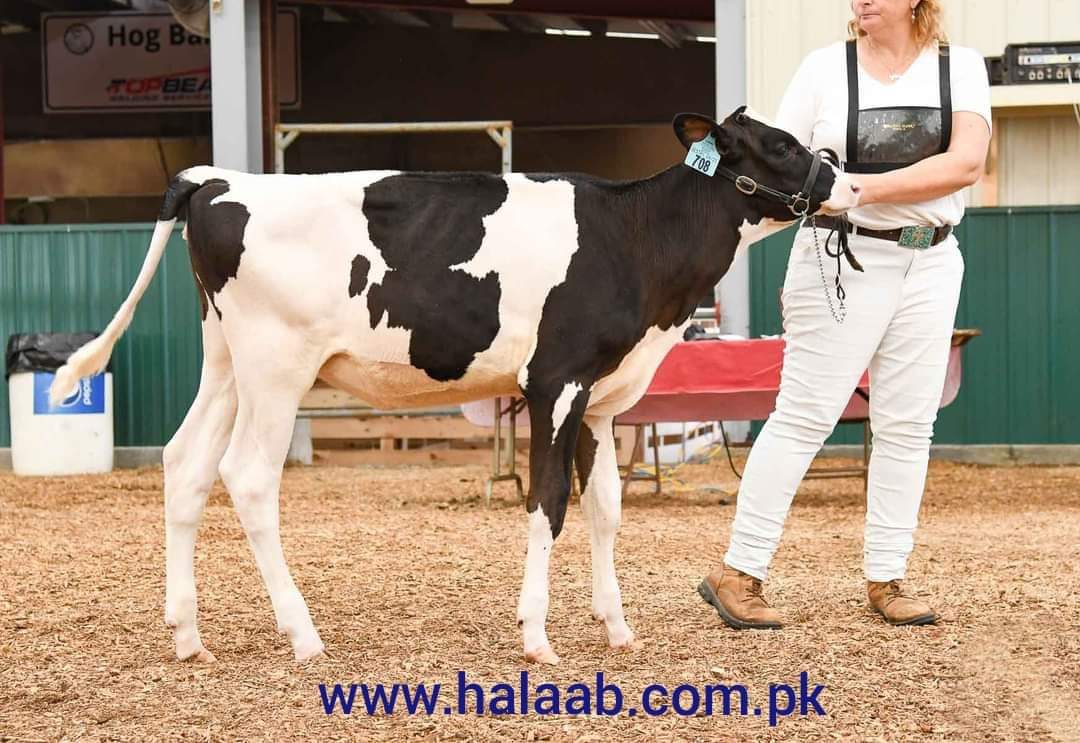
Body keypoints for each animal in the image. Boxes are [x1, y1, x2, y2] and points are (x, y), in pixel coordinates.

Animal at [51, 107, 860, 665]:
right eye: (781, 146)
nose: (849, 180)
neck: (634, 238)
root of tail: (214, 178)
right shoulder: (556, 381)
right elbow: (548, 504)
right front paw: (536, 635)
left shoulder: (602, 397)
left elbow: (605, 510)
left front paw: (617, 626)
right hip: (277, 365)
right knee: (247, 478)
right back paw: (303, 634)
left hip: (227, 362)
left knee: (185, 463)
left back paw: (189, 635)